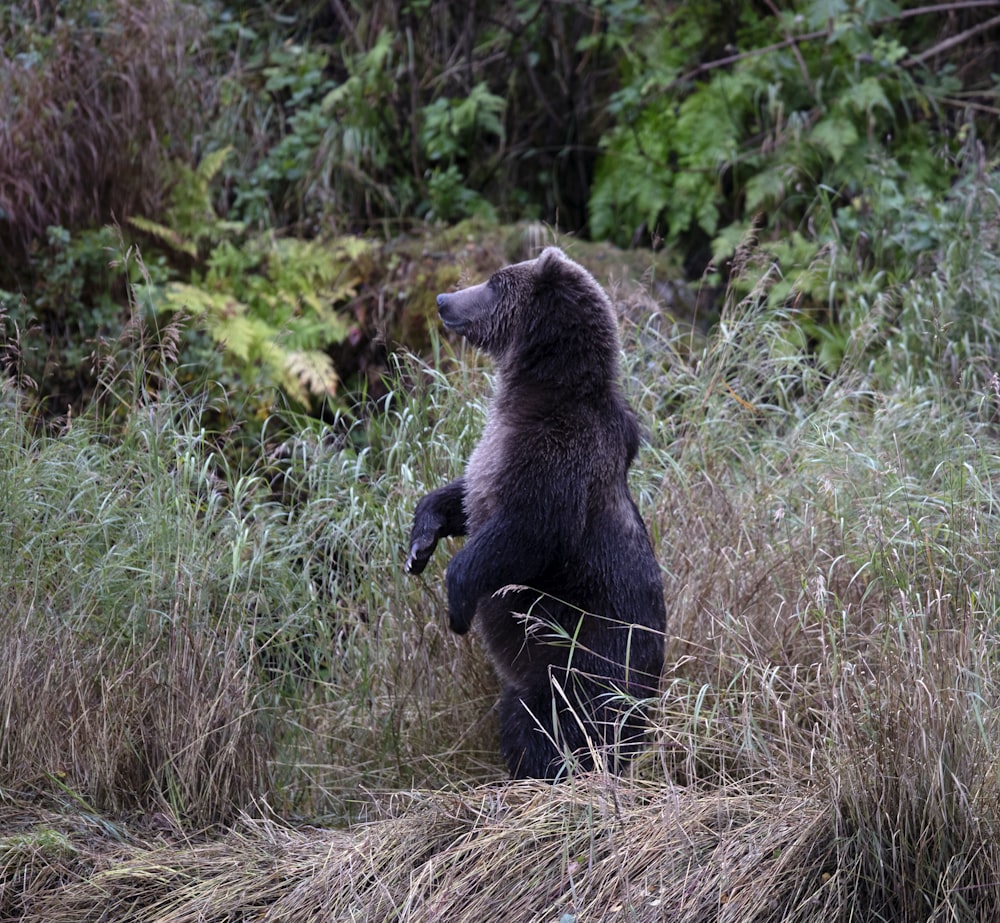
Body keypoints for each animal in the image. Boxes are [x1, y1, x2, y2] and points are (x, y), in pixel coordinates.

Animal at [406, 244, 664, 780]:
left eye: (494, 282)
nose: (442, 300)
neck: (536, 389)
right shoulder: (499, 453)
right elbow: (467, 495)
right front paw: (421, 540)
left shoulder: (557, 457)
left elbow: (526, 533)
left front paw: (457, 605)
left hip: (579, 662)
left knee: (550, 722)